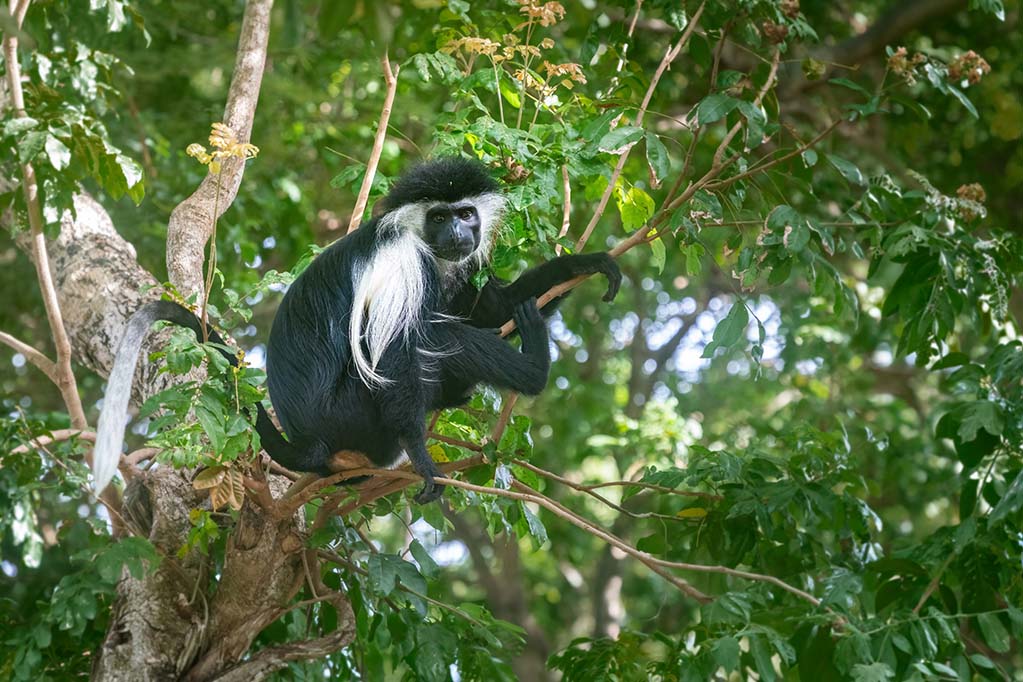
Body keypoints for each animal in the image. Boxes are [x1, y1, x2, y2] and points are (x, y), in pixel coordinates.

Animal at [93, 157, 621, 503]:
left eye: (466, 213)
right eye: (439, 216)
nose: (457, 234)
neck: (423, 243)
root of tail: (310, 441)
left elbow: (492, 308)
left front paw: (582, 265)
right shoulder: (403, 262)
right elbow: (394, 356)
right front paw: (425, 464)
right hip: (349, 413)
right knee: (432, 339)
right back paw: (533, 369)